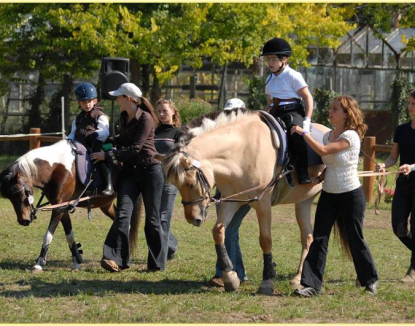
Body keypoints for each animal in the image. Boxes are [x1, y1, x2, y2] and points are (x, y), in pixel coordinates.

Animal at [0, 139, 141, 272]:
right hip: (106, 205)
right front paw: (77, 261)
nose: (23, 220)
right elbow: (69, 235)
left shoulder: (58, 208)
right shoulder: (62, 206)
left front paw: (39, 264)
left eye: (22, 193)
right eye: (10, 198)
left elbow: (48, 235)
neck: (56, 168)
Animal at [158, 109, 330, 296]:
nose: (193, 219)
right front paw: (230, 277)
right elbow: (218, 232)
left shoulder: (263, 203)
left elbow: (265, 240)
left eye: (190, 183)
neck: (243, 150)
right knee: (307, 237)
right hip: (303, 201)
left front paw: (267, 281)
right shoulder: (231, 201)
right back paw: (298, 278)